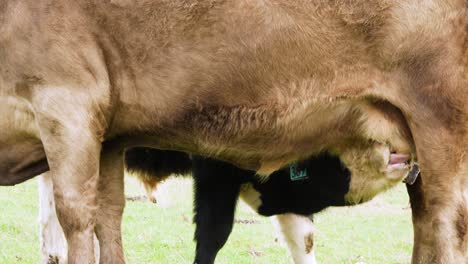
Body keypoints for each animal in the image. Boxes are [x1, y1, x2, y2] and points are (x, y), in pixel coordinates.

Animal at [0, 1, 466, 262]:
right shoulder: (109, 134)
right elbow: (108, 217)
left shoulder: (67, 102)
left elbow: (76, 216)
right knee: (427, 224)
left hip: (441, 119)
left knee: (447, 227)